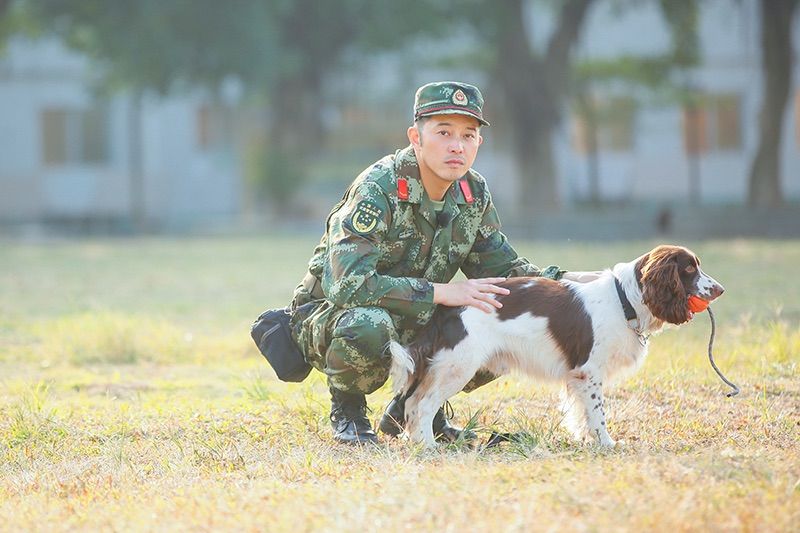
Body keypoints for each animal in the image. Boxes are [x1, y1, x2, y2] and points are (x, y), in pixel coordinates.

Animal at [388, 244, 724, 444]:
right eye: (689, 268)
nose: (720, 289)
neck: (623, 300)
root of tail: (447, 306)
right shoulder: (589, 372)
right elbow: (598, 413)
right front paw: (606, 443)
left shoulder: (577, 376)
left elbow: (581, 413)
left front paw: (586, 440)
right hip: (459, 366)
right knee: (422, 404)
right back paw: (428, 446)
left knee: (414, 403)